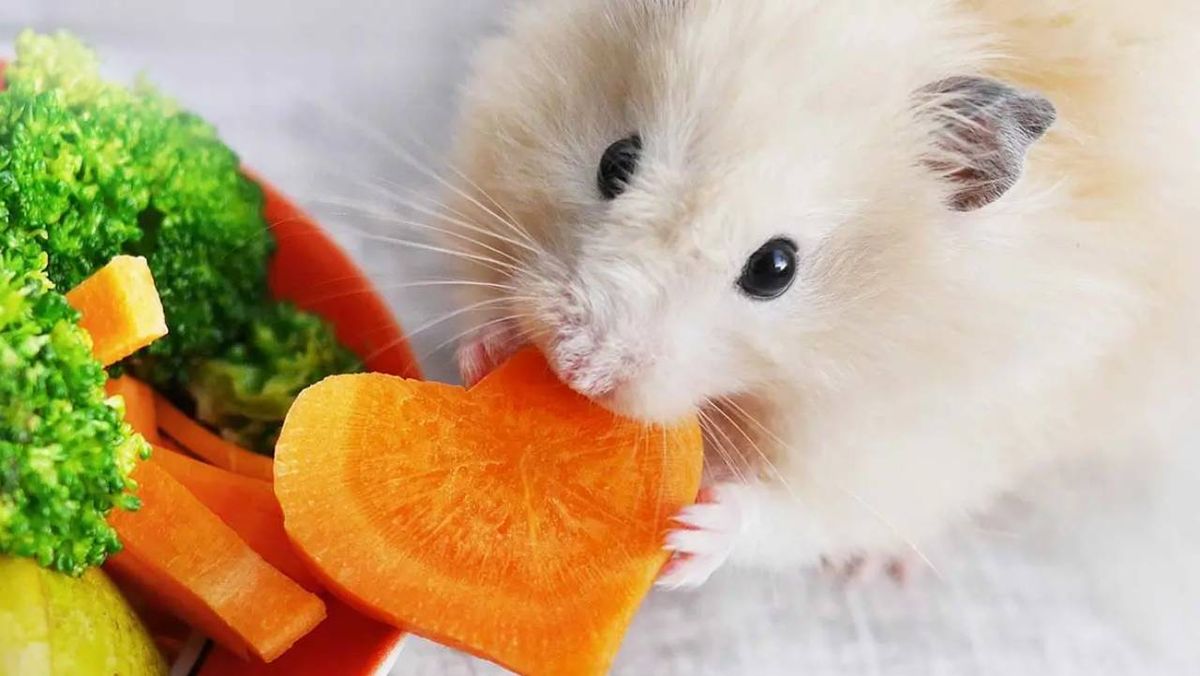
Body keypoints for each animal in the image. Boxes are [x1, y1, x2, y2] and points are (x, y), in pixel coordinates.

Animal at [439, 0, 1200, 588]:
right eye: (615, 162)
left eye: (775, 268)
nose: (578, 370)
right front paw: (488, 352)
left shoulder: (915, 434)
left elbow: (809, 512)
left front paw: (693, 534)